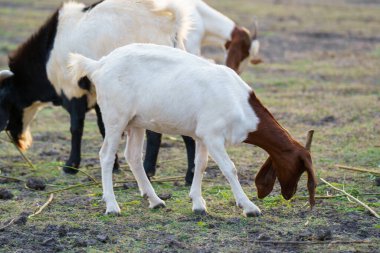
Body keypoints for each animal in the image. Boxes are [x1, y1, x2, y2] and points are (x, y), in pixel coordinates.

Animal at [0, 0, 191, 174]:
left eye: (5, 100)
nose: (8, 131)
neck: (49, 53)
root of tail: (170, 25)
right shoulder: (98, 94)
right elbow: (102, 127)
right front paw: (114, 166)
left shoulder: (73, 90)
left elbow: (76, 127)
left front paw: (70, 166)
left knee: (156, 132)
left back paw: (150, 170)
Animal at [69, 44, 318, 217]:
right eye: (299, 168)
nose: (289, 194)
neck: (239, 102)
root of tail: (99, 65)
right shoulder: (213, 136)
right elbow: (229, 168)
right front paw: (249, 207)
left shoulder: (202, 136)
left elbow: (201, 164)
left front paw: (198, 204)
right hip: (115, 118)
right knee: (106, 155)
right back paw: (112, 206)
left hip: (136, 122)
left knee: (133, 156)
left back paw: (155, 200)